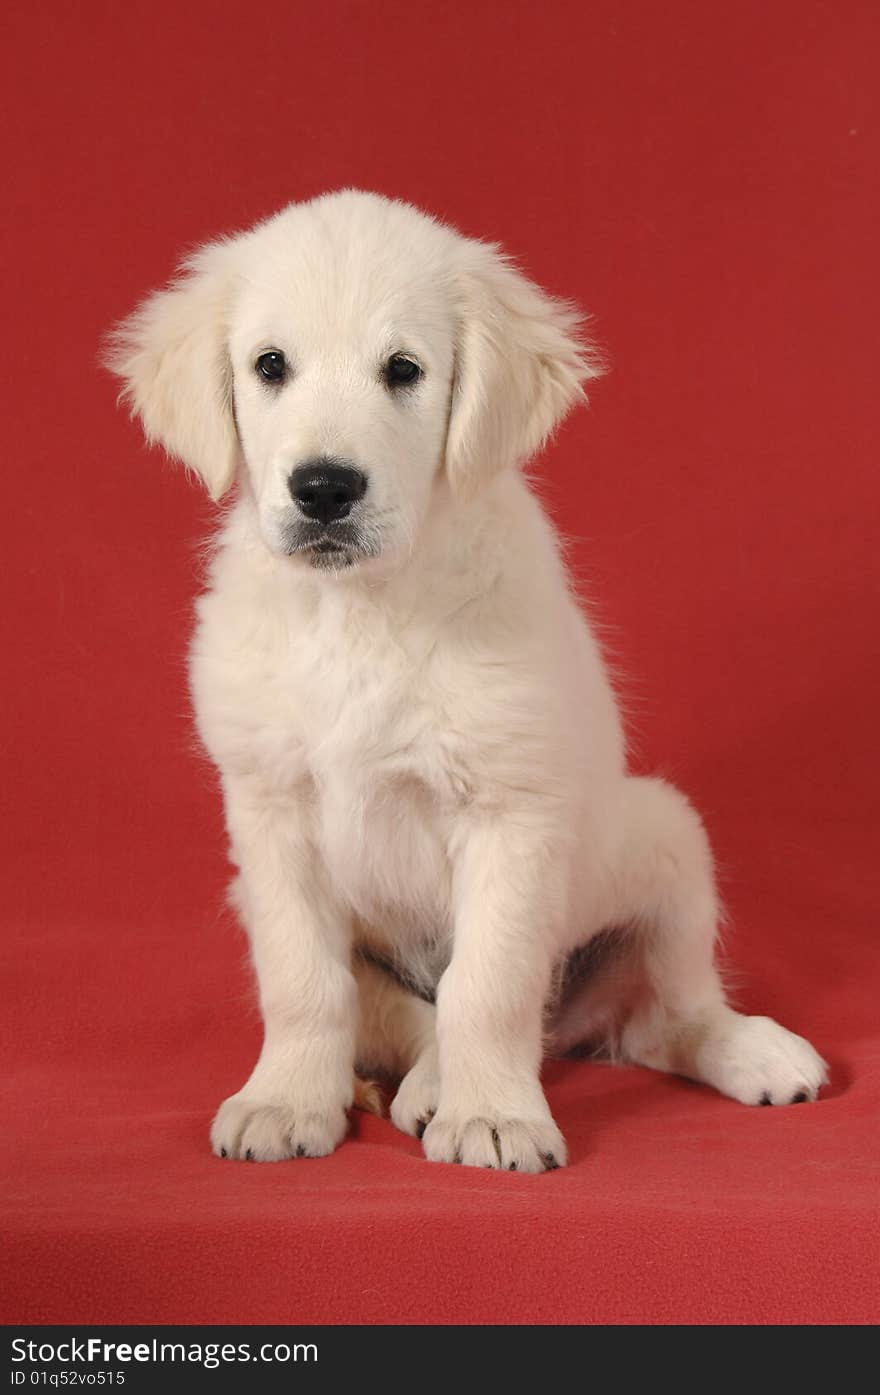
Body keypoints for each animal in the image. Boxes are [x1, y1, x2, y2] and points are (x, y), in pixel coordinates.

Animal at [108, 191, 825, 1171]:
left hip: (665, 838)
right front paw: (287, 1097)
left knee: (664, 1014)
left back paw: (747, 1049)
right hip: (256, 900)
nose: (323, 488)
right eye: (270, 365)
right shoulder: (269, 815)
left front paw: (494, 1116)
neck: (365, 608)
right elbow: (303, 982)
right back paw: (419, 1083)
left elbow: (487, 983)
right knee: (407, 1015)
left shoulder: (510, 812)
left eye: (404, 370)